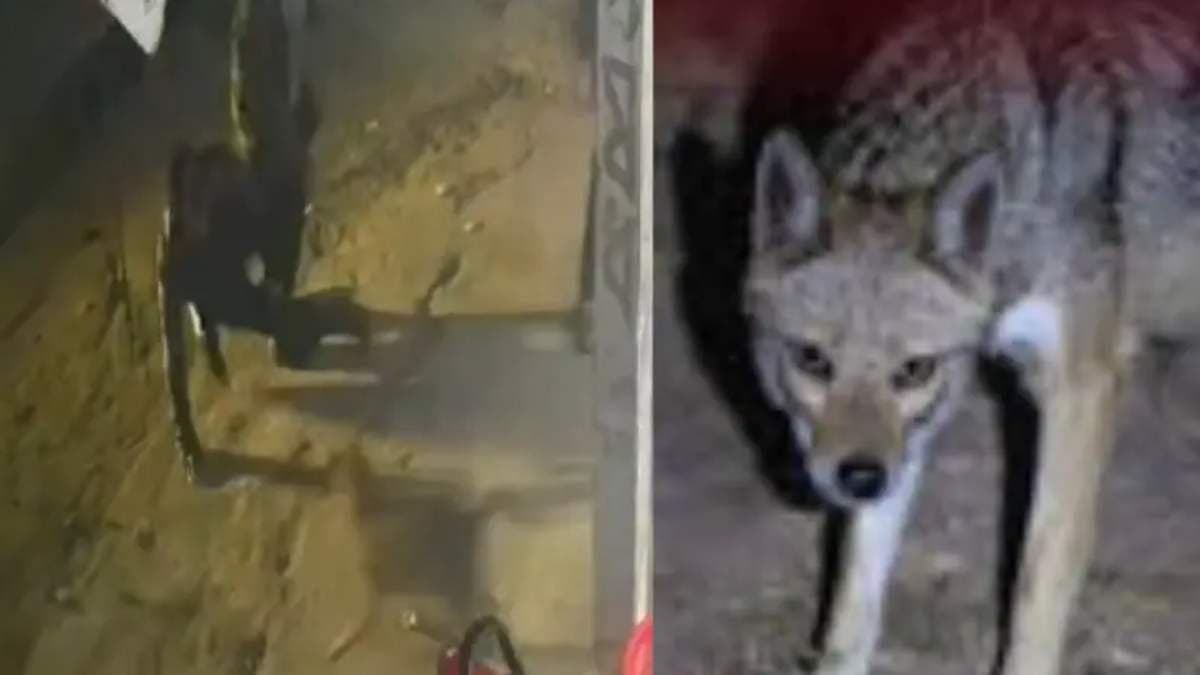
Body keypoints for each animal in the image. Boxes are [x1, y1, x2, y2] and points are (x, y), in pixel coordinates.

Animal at [742, 6, 1200, 675]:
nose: (859, 481)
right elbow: (853, 600)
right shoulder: (897, 444)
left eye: (913, 369)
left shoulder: (1081, 384)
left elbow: (1038, 582)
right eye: (812, 360)